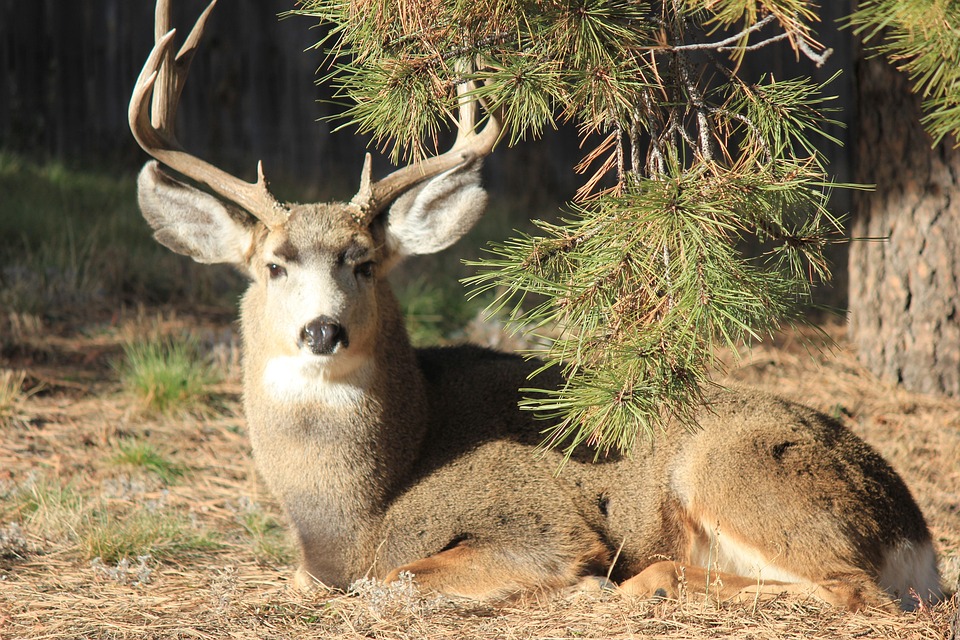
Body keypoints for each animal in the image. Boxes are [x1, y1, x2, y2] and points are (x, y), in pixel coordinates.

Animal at [130, 0, 943, 611]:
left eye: (362, 262)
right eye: (273, 266)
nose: (321, 329)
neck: (359, 510)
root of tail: (918, 537)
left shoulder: (536, 520)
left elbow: (396, 577)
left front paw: (579, 583)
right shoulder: (313, 564)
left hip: (733, 469)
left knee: (851, 589)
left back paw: (641, 583)